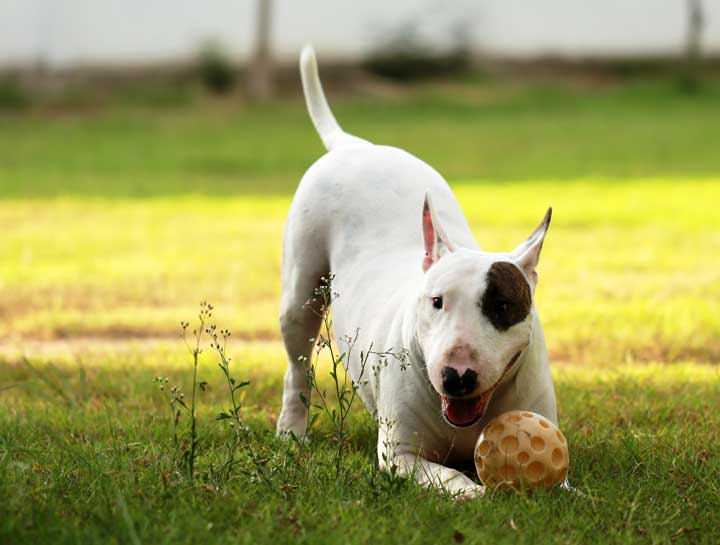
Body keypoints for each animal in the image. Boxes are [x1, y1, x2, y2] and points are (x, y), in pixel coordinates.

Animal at [276, 46, 556, 498]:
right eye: (437, 302)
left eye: (501, 305)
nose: (456, 377)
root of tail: (353, 145)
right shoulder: (401, 455)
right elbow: (448, 475)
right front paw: (477, 493)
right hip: (300, 292)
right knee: (297, 365)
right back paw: (291, 432)